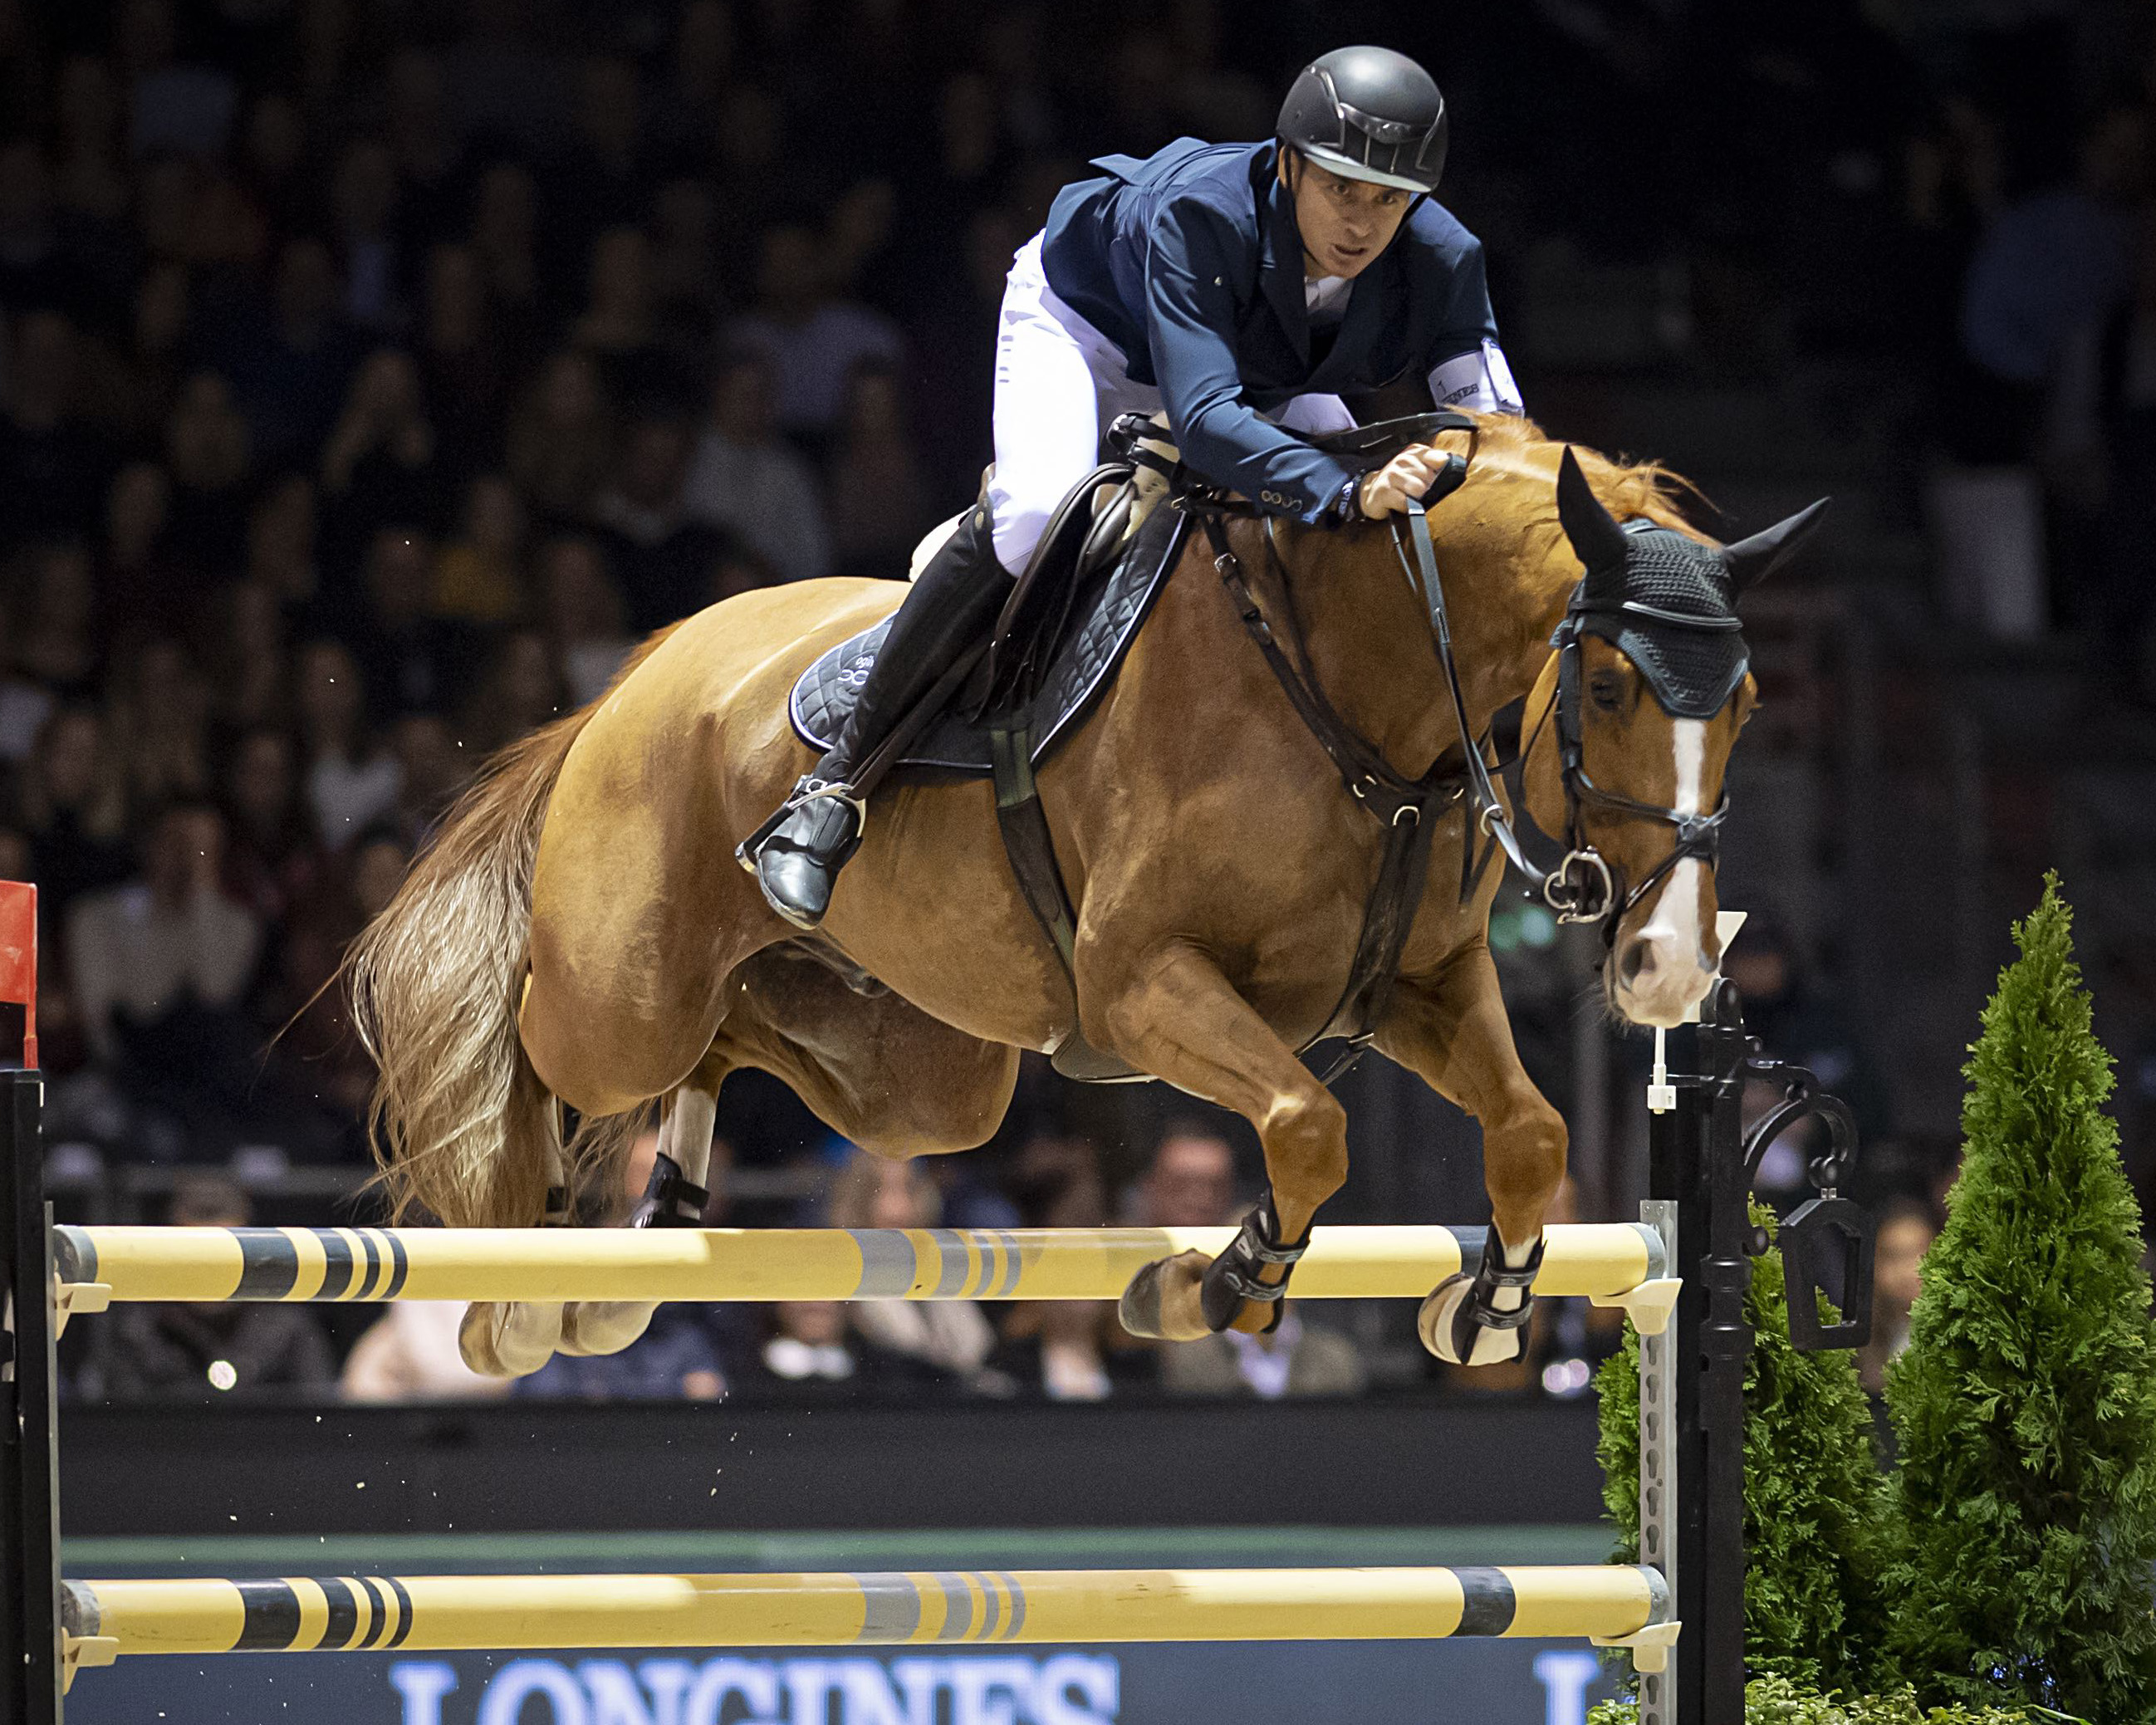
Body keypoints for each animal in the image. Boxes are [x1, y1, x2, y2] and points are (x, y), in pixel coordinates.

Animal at [353, 414, 1820, 1371]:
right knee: (543, 1055)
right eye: (1612, 687)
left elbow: (1527, 1133)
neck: (1358, 689)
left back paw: (643, 1245)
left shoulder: (1417, 984)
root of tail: (639, 674)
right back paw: (527, 1292)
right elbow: (1307, 1126)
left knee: (739, 1038)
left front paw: (1489, 1306)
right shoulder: (1140, 986)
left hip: (923, 1079)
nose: (1669, 966)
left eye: (1752, 701)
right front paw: (1213, 1288)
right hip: (623, 997)